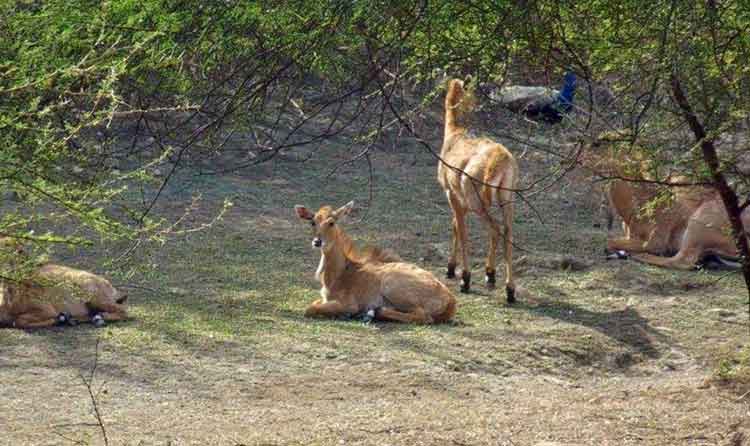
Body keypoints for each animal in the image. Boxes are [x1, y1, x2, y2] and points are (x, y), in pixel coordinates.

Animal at [0, 239, 128, 330]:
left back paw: (98, 318)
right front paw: (64, 318)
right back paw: (74, 319)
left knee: (123, 310)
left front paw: (58, 319)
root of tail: (110, 287)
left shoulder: (45, 309)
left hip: (96, 298)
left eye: (19, 250)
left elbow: (18, 321)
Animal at [296, 202, 458, 324]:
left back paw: (373, 312)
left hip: (392, 286)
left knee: (423, 316)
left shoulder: (349, 304)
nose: (317, 241)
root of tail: (450, 300)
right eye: (312, 222)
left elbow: (310, 309)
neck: (338, 275)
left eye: (331, 222)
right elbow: (314, 304)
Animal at [588, 132, 750, 270]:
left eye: (599, 143)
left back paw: (634, 255)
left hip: (697, 226)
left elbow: (609, 242)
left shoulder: (654, 241)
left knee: (683, 261)